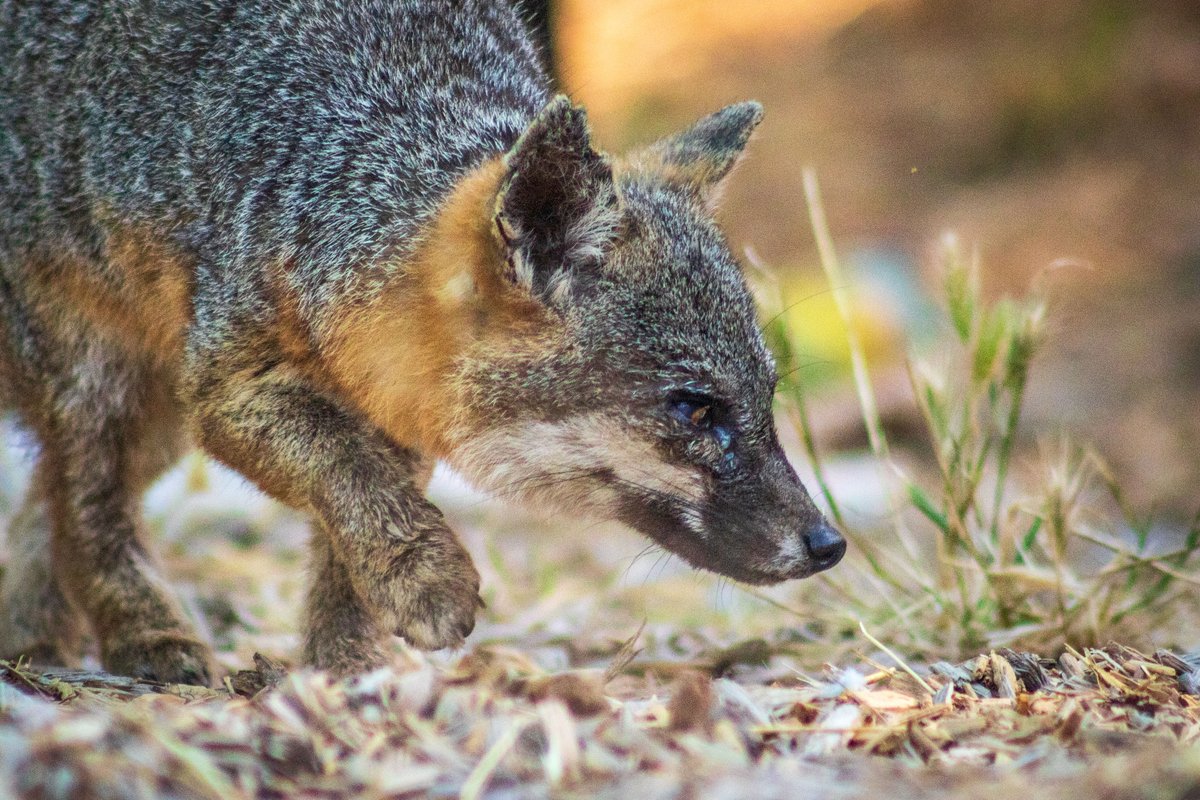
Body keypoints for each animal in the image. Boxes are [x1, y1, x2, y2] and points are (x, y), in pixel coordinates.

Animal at [0, 0, 846, 685]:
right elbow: (347, 472)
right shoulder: (227, 388)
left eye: (768, 395)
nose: (829, 544)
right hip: (110, 385)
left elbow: (350, 528)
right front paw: (425, 580)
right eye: (694, 408)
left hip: (155, 414)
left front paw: (346, 666)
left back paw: (35, 637)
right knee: (87, 506)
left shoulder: (394, 409)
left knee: (48, 500)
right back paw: (143, 635)